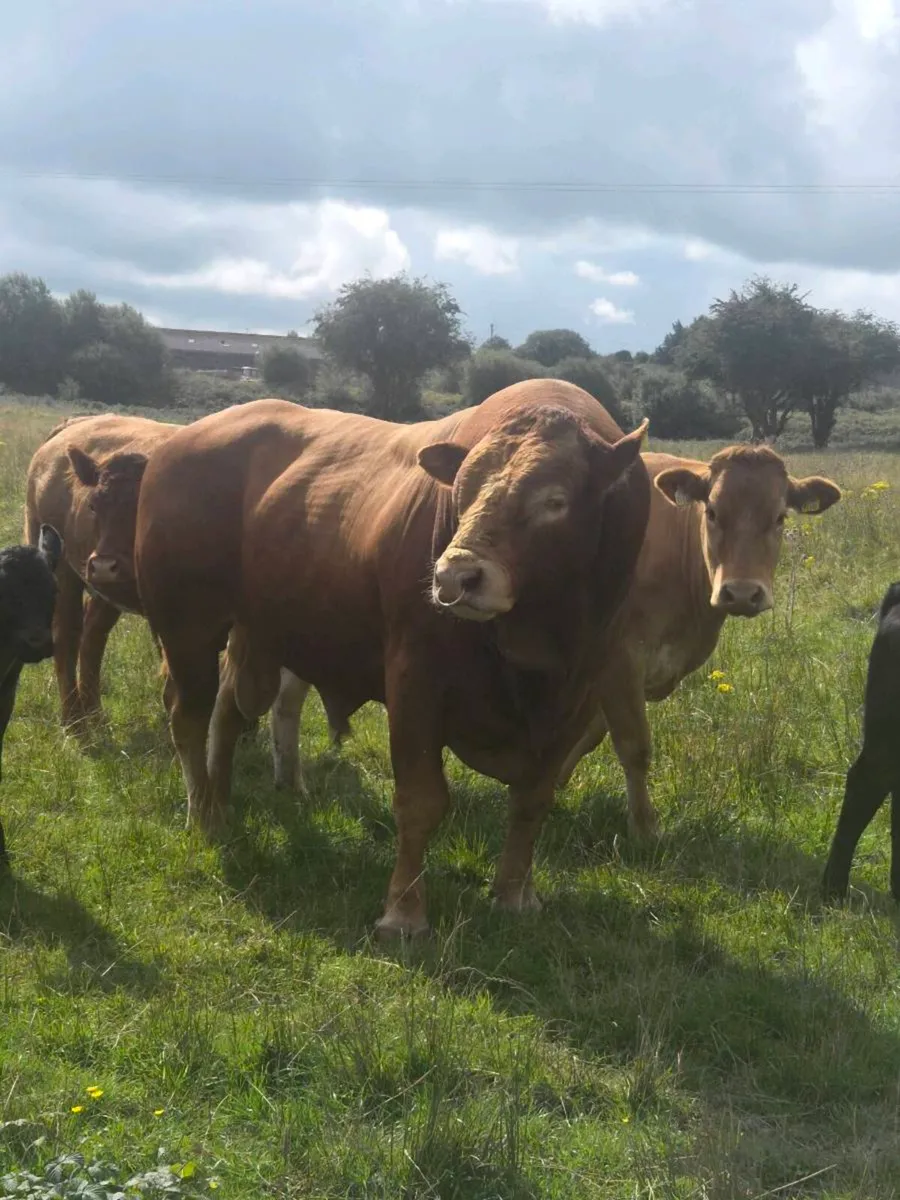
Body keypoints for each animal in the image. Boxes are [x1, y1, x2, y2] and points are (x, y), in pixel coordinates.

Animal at [24, 413, 179, 730]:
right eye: (93, 505)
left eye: (142, 507)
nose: (105, 564)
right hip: (65, 573)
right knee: (68, 636)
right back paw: (75, 723)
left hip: (104, 592)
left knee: (93, 635)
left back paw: (94, 715)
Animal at [134, 381, 652, 937]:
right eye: (461, 492)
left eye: (555, 500)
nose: (455, 575)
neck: (534, 649)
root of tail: (177, 442)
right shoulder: (414, 683)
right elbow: (420, 800)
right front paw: (404, 912)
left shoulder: (577, 698)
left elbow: (533, 800)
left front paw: (515, 895)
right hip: (188, 630)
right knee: (189, 716)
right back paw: (203, 815)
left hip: (256, 636)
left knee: (230, 713)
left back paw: (221, 802)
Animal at [554, 444, 842, 837]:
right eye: (713, 511)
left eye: (780, 517)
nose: (742, 593)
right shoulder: (619, 660)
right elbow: (633, 745)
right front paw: (644, 829)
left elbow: (588, 733)